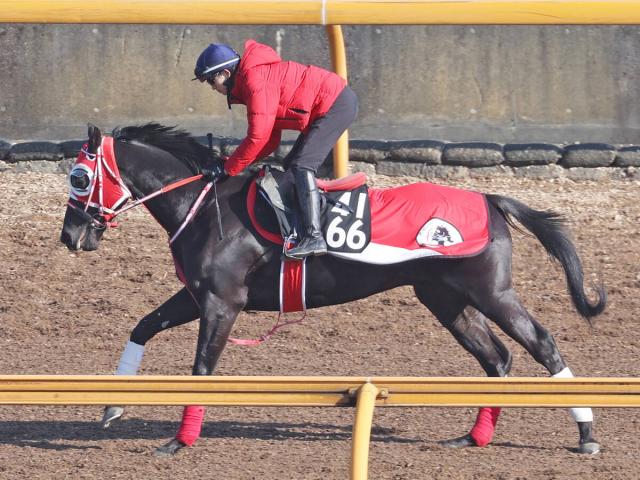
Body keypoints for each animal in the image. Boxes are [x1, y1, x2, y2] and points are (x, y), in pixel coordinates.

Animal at [60, 123, 606, 457]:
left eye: (80, 177)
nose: (70, 236)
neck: (204, 206)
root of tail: (490, 200)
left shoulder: (222, 304)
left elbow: (201, 370)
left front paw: (179, 442)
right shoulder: (198, 296)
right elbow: (143, 326)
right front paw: (112, 404)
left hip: (492, 292)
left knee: (542, 345)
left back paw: (586, 434)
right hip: (446, 300)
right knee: (497, 358)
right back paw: (474, 438)